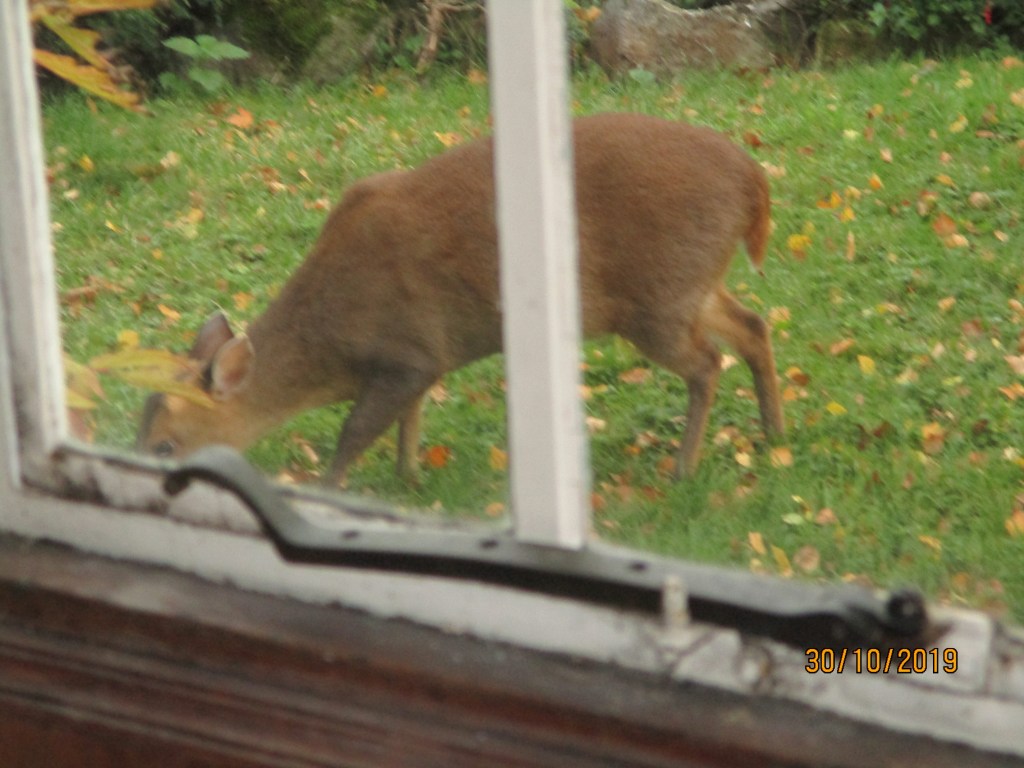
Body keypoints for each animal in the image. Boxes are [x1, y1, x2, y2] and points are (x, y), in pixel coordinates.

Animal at [137, 112, 785, 486]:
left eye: (166, 444)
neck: (330, 348)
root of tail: (753, 180)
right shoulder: (422, 362)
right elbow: (409, 423)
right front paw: (410, 478)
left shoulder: (409, 351)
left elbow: (355, 432)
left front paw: (334, 490)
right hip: (691, 284)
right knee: (754, 325)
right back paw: (772, 435)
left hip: (658, 296)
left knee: (708, 362)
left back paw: (684, 468)